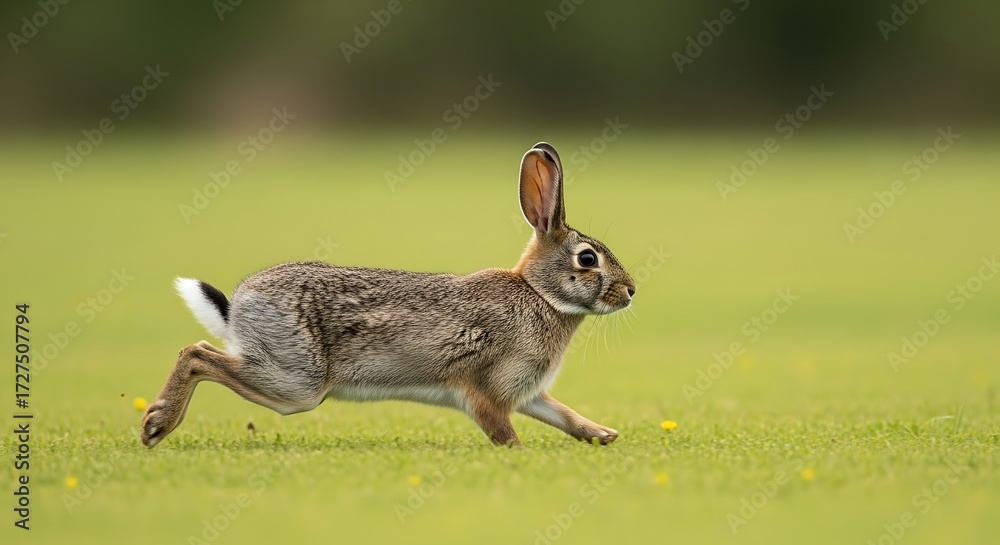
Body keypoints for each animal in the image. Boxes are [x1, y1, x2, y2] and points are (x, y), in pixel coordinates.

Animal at [141, 142, 635, 447]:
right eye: (587, 259)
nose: (630, 291)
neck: (539, 294)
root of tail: (239, 305)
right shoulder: (488, 392)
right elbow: (503, 432)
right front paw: (521, 452)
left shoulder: (527, 393)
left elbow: (561, 413)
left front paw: (603, 434)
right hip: (296, 381)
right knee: (197, 354)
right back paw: (157, 423)